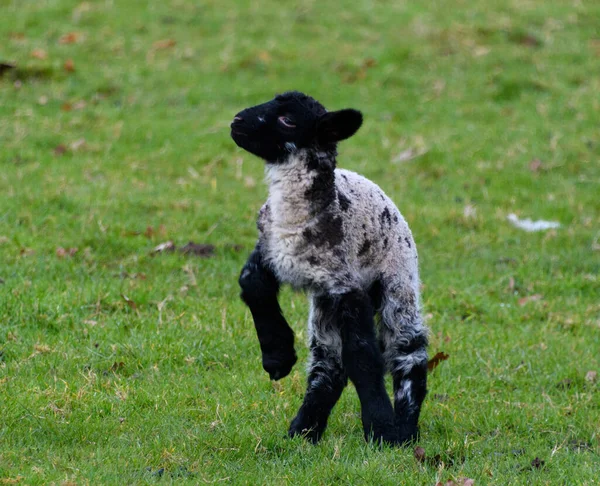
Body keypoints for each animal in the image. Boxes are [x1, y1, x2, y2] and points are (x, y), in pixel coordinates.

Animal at [232, 91, 428, 444]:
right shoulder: (271, 252)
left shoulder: (346, 284)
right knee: (328, 364)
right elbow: (251, 284)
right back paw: (303, 430)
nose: (236, 121)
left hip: (398, 277)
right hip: (323, 303)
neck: (297, 220)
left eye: (288, 120)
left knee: (407, 352)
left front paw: (382, 429)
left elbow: (362, 356)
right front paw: (277, 357)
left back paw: (406, 429)